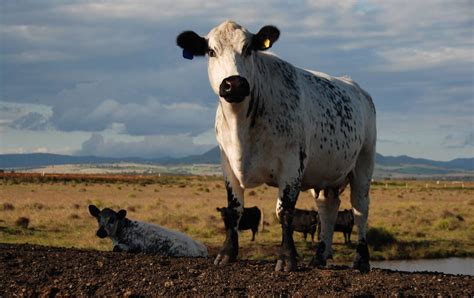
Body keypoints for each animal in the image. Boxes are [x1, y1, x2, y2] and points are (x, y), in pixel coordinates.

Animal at [176, 20, 376, 272]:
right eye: (211, 51)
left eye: (248, 49)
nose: (234, 84)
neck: (241, 128)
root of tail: (357, 88)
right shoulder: (227, 165)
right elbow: (233, 210)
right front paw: (227, 253)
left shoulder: (292, 165)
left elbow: (285, 212)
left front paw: (287, 258)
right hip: (325, 174)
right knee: (327, 209)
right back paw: (320, 256)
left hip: (363, 164)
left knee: (360, 210)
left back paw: (361, 260)